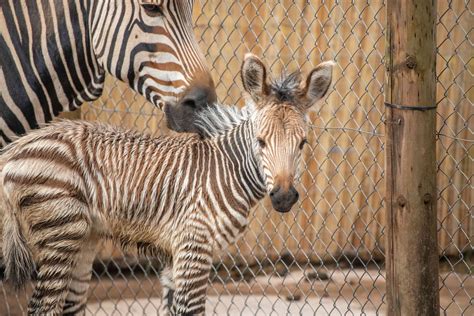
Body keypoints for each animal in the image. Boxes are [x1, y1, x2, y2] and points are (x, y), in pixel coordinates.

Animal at [0, 54, 334, 314]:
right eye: (261, 142)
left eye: (303, 143)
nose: (283, 198)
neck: (226, 169)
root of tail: (18, 148)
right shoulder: (194, 249)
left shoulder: (178, 256)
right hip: (61, 233)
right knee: (42, 306)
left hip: (83, 237)